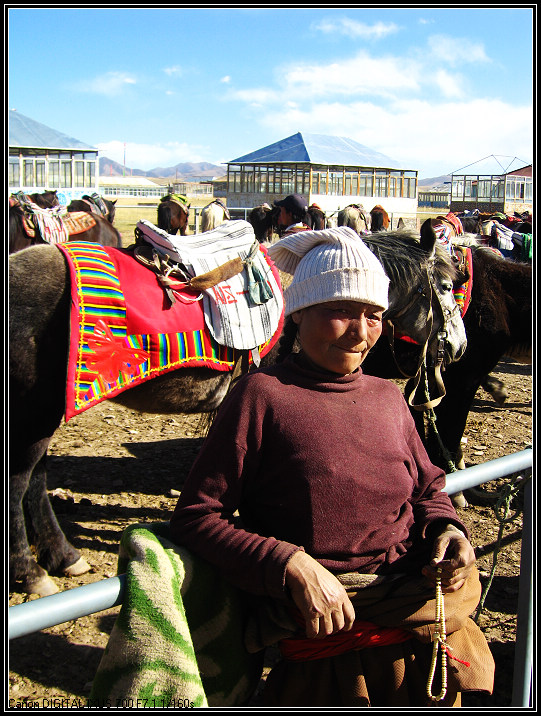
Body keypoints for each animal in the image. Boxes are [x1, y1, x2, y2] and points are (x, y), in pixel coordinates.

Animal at [7, 221, 464, 596]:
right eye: (444, 285)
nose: (459, 347)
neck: (298, 304)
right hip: (36, 416)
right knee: (21, 481)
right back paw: (33, 574)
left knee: (36, 479)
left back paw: (64, 556)